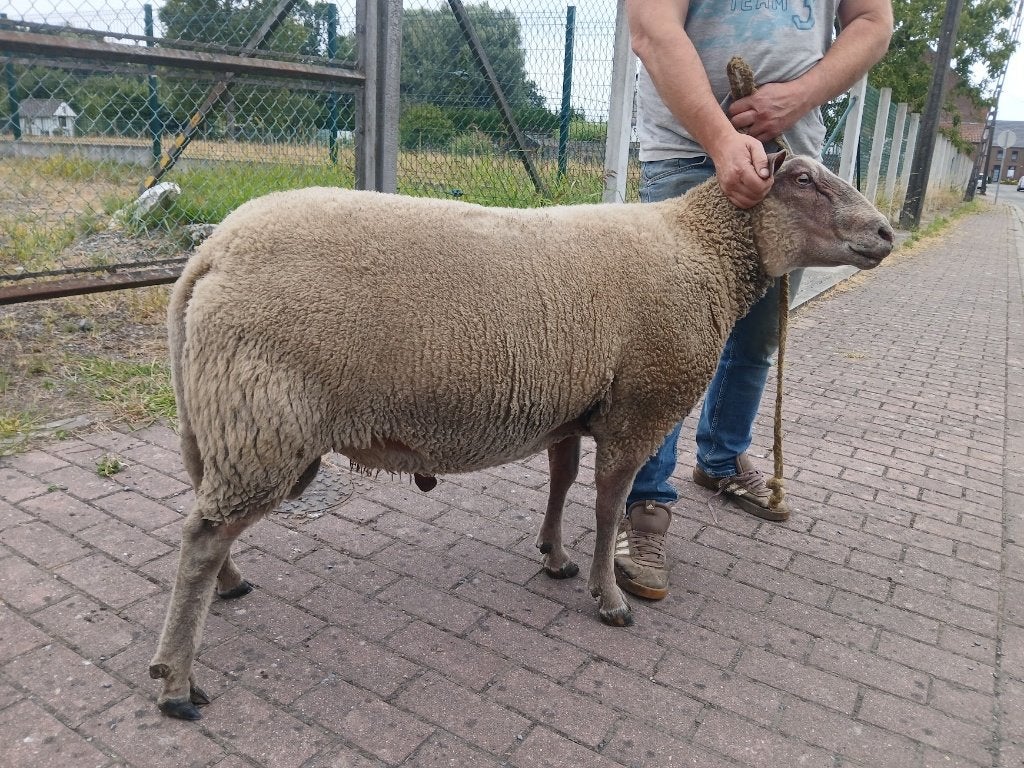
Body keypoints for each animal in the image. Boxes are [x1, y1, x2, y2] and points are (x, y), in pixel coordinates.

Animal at [149, 152, 894, 719]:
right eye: (804, 180)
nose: (887, 232)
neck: (700, 248)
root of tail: (210, 254)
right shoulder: (640, 409)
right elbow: (609, 506)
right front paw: (609, 598)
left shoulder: (573, 409)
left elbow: (562, 483)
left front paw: (555, 557)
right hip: (266, 419)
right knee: (201, 537)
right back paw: (177, 681)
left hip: (221, 417)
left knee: (204, 519)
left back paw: (226, 588)